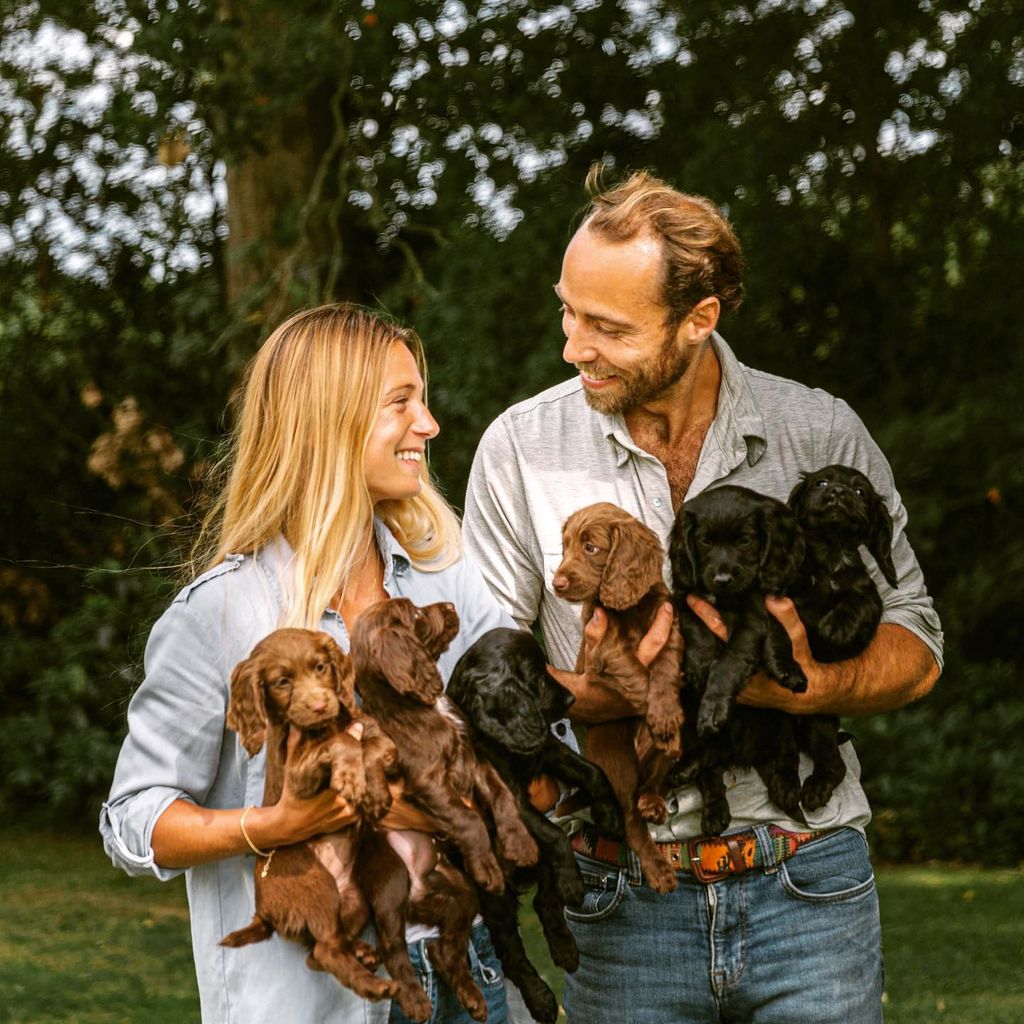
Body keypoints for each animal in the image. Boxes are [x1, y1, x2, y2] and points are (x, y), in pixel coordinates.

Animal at [444, 626, 618, 1019]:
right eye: (536, 677)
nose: (570, 698)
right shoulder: (507, 800)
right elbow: (552, 832)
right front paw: (574, 882)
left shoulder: (545, 748)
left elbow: (593, 772)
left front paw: (609, 814)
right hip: (494, 894)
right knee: (510, 950)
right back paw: (541, 1000)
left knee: (544, 904)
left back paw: (565, 949)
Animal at [786, 464, 901, 806]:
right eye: (821, 483)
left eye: (860, 491)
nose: (838, 492)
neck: (831, 551)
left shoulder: (866, 593)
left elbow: (856, 603)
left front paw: (835, 628)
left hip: (817, 723)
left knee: (834, 766)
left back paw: (815, 789)